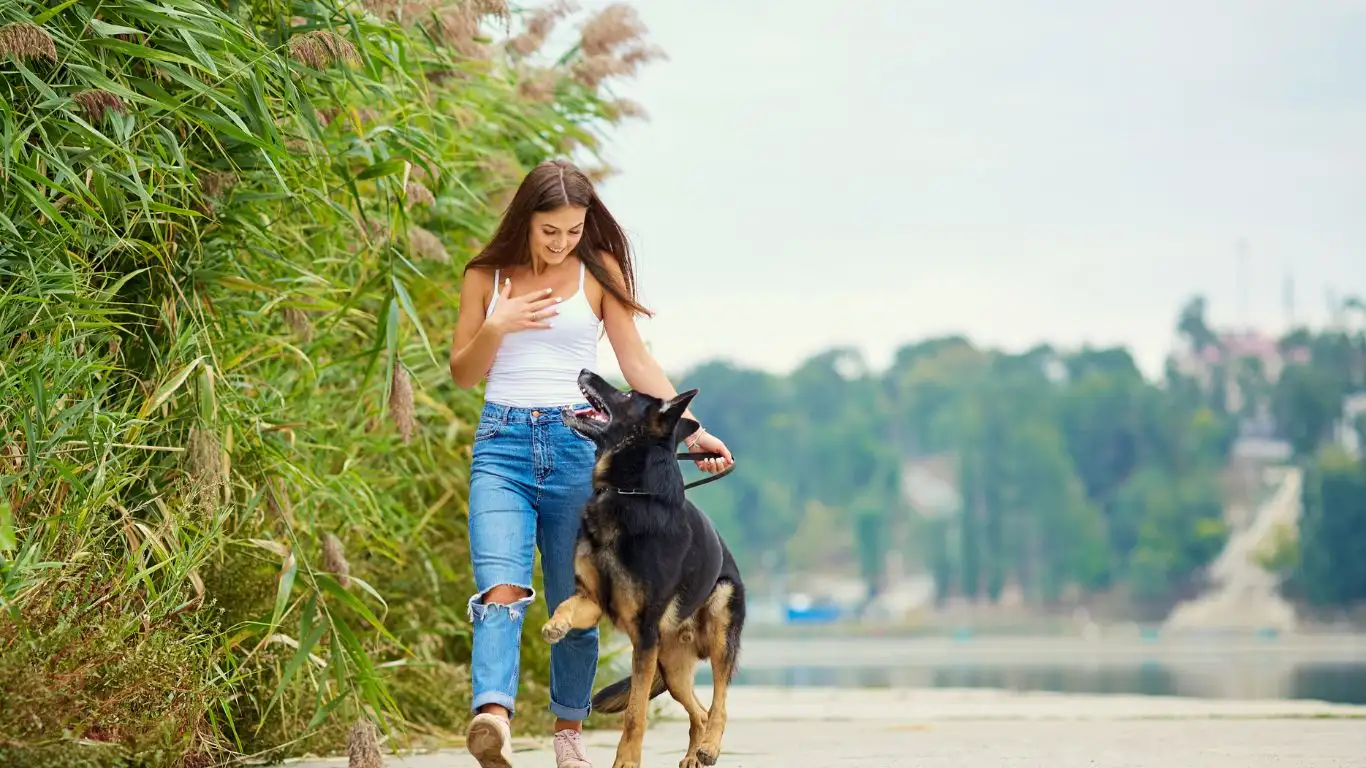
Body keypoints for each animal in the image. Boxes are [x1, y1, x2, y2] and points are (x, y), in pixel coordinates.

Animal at [543, 368, 748, 765]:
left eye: (626, 395)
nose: (584, 371)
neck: (628, 494)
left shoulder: (644, 636)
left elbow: (635, 713)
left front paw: (626, 761)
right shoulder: (592, 602)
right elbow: (566, 605)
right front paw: (555, 626)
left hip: (717, 628)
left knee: (720, 701)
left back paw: (710, 747)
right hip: (669, 666)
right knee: (698, 712)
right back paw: (693, 754)